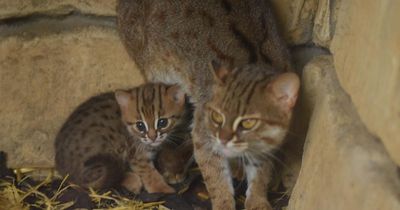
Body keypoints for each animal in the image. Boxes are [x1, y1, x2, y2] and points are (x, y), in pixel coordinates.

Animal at [55, 83, 193, 194]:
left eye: (162, 122)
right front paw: (163, 189)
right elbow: (149, 173)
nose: (153, 137)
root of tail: (61, 167)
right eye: (140, 125)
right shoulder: (137, 154)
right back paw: (132, 181)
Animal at [117, 0, 298, 209]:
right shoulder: (204, 135)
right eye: (217, 117)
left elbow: (261, 172)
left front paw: (258, 200)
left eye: (248, 122)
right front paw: (224, 203)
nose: (225, 137)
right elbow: (216, 177)